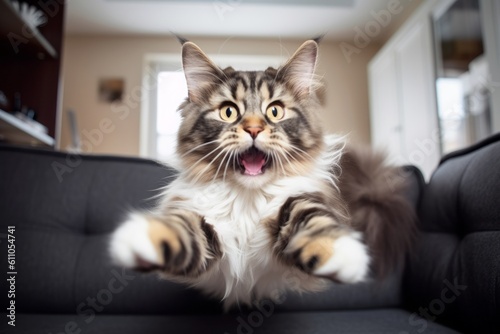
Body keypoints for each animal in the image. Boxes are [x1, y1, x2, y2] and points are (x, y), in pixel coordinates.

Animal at [108, 39, 414, 310]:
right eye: (228, 112)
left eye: (275, 111)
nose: (254, 129)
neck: (247, 199)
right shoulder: (208, 236)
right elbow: (185, 226)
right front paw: (146, 235)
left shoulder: (298, 202)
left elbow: (308, 214)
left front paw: (338, 250)